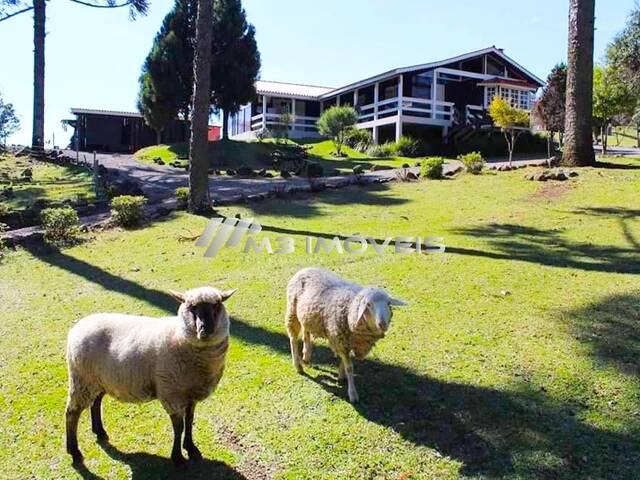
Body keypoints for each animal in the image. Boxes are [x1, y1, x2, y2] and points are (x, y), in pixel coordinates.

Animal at [64, 286, 238, 466]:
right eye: (192, 307)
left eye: (217, 306)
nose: (204, 330)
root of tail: (77, 328)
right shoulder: (171, 393)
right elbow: (179, 427)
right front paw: (177, 457)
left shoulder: (191, 395)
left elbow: (190, 421)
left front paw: (191, 447)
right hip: (82, 379)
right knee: (72, 412)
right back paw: (74, 452)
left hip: (99, 379)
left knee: (96, 403)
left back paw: (100, 433)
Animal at [288, 268, 408, 404]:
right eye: (368, 304)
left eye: (388, 303)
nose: (382, 324)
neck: (350, 309)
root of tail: (306, 268)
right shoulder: (340, 339)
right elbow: (350, 367)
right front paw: (353, 394)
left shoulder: (346, 340)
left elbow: (344, 362)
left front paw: (341, 375)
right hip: (292, 311)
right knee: (293, 338)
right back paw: (298, 366)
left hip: (307, 316)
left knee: (306, 333)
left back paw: (306, 356)